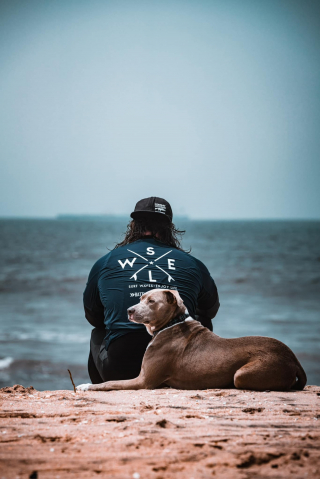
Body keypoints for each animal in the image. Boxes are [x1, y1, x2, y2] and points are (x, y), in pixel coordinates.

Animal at [76, 288, 306, 394]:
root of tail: (294, 359)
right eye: (140, 298)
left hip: (243, 374)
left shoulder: (143, 380)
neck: (172, 323)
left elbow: (109, 383)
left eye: (152, 301)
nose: (129, 310)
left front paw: (85, 386)